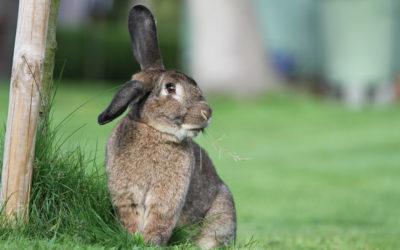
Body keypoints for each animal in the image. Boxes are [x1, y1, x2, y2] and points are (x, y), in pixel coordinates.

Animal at [98, 4, 236, 248]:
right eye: (170, 88)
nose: (207, 113)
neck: (154, 131)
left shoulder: (166, 197)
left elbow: (160, 219)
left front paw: (151, 242)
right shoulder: (125, 194)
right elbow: (131, 216)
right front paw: (132, 238)